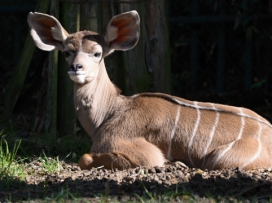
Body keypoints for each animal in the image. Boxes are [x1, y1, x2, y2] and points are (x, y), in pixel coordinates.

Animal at [27, 10, 272, 170]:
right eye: (67, 52)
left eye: (97, 53)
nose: (76, 68)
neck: (110, 112)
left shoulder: (141, 153)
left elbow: (84, 158)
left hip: (220, 158)